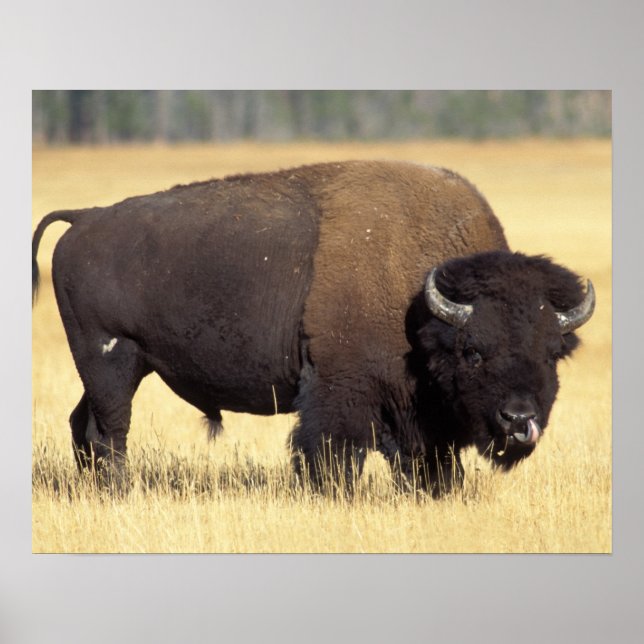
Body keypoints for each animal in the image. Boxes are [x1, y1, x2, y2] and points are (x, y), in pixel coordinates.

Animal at [32, 160, 595, 495]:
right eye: (473, 351)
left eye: (552, 353)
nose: (519, 420)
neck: (419, 296)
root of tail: (85, 219)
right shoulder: (340, 390)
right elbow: (331, 451)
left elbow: (428, 461)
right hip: (112, 360)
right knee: (110, 430)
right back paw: (118, 490)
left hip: (116, 367)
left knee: (82, 424)